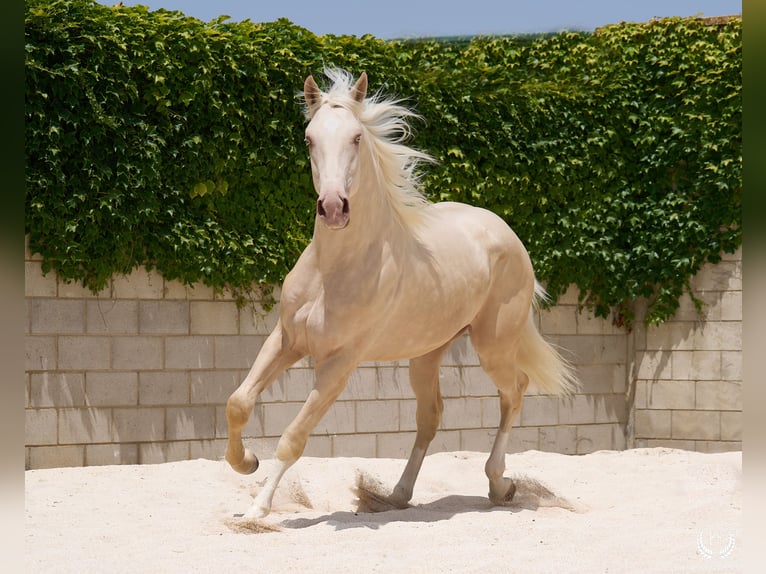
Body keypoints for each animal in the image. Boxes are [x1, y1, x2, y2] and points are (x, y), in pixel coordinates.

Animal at [225, 68, 578, 519]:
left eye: (357, 137)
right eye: (309, 138)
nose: (334, 208)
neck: (333, 271)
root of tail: (505, 231)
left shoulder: (339, 364)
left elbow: (293, 437)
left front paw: (257, 511)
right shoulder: (286, 340)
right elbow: (238, 402)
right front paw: (245, 463)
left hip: (493, 346)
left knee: (515, 388)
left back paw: (501, 485)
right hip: (426, 354)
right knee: (431, 416)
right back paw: (397, 495)